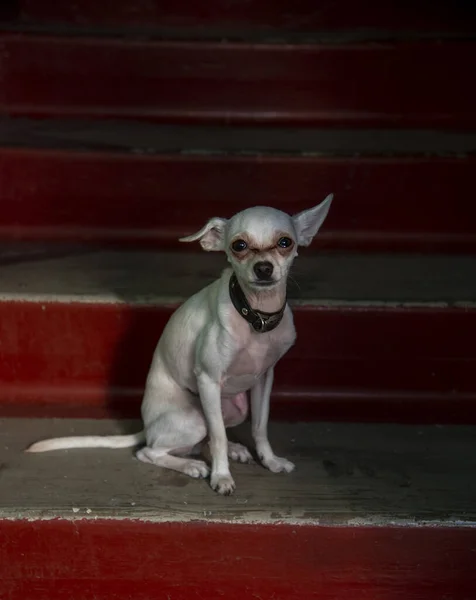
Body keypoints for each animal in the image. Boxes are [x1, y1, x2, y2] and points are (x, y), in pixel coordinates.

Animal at [27, 195, 332, 494]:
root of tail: (148, 426)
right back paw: (191, 465)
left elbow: (260, 427)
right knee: (152, 451)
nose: (264, 268)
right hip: (195, 418)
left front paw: (270, 461)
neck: (255, 316)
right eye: (239, 246)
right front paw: (222, 477)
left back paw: (231, 451)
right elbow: (218, 436)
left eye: (285, 243)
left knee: (205, 439)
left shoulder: (264, 380)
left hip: (235, 407)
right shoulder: (208, 380)